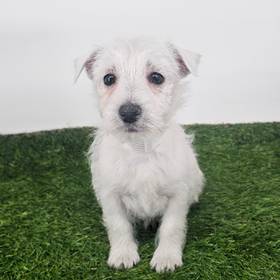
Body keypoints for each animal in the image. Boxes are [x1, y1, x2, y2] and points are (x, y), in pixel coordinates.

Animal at [75, 38, 205, 272]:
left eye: (157, 77)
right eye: (109, 79)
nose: (128, 112)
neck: (140, 149)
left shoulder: (177, 195)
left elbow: (172, 227)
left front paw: (166, 257)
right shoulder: (110, 195)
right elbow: (118, 225)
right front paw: (123, 254)